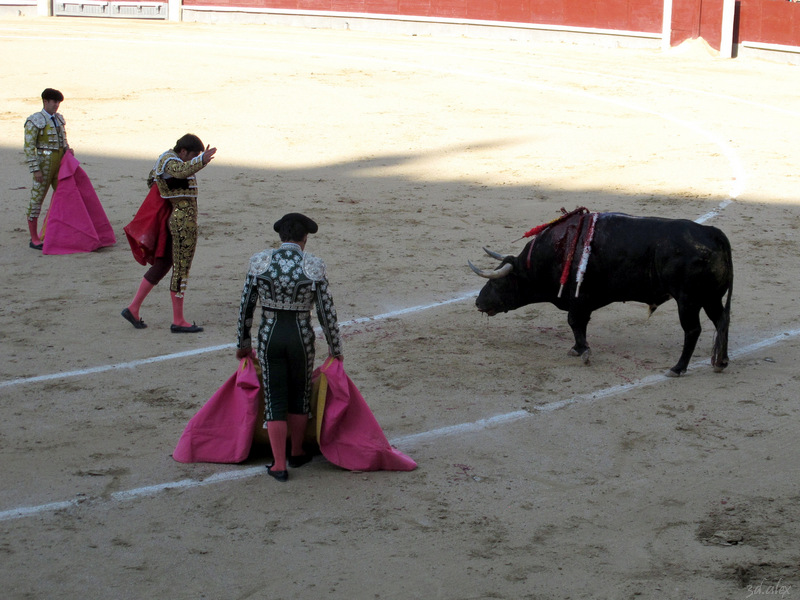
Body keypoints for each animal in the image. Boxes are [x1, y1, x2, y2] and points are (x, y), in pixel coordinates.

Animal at [472, 213, 736, 378]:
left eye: (498, 281)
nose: (478, 302)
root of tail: (713, 233)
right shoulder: (584, 302)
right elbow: (579, 324)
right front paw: (578, 348)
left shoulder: (579, 299)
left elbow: (574, 322)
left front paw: (583, 351)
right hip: (710, 298)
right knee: (722, 320)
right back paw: (721, 362)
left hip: (688, 301)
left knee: (692, 330)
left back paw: (678, 368)